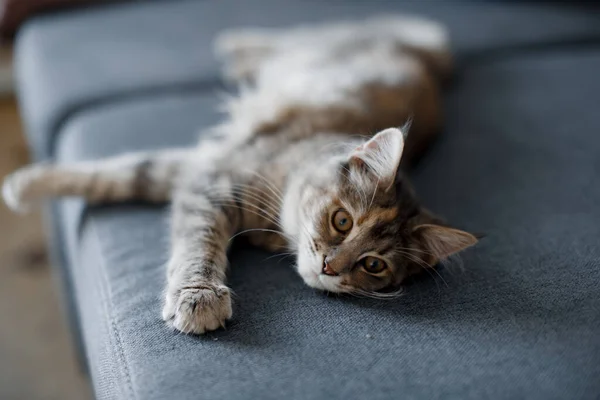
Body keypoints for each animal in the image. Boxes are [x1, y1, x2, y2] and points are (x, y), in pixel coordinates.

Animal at [2, 15, 476, 334]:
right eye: (342, 220)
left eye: (373, 265)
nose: (329, 267)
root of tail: (431, 64)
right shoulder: (210, 175)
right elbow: (181, 228)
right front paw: (21, 185)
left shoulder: (195, 171)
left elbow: (128, 175)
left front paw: (22, 184)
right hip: (321, 43)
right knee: (307, 32)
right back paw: (234, 46)